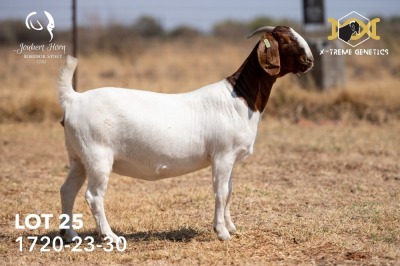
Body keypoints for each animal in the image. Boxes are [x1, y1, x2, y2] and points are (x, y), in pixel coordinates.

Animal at [57, 26, 314, 242]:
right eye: (285, 40)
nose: (309, 60)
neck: (239, 97)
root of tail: (74, 99)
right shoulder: (222, 155)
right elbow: (220, 192)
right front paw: (222, 232)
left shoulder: (231, 158)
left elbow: (230, 191)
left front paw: (231, 227)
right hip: (98, 156)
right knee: (94, 196)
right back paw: (110, 236)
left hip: (78, 157)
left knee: (67, 189)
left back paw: (70, 235)